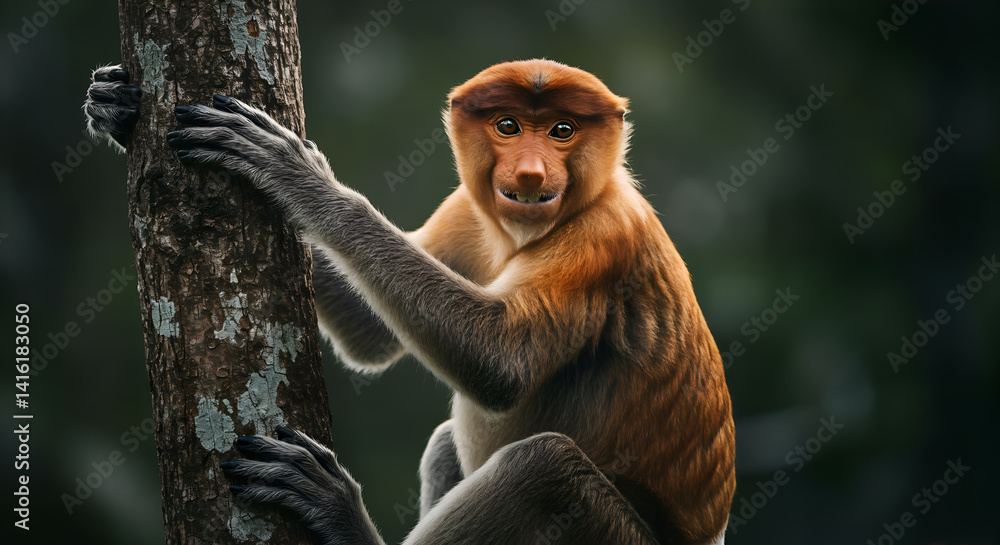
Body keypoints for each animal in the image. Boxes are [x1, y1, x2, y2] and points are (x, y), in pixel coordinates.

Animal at [86, 59, 735, 544]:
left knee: (545, 469)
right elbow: (372, 334)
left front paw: (298, 173)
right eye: (508, 126)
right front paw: (118, 107)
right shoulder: (467, 210)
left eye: (562, 131)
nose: (530, 176)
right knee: (454, 443)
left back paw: (340, 517)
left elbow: (498, 361)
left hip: (609, 533)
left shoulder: (601, 240)